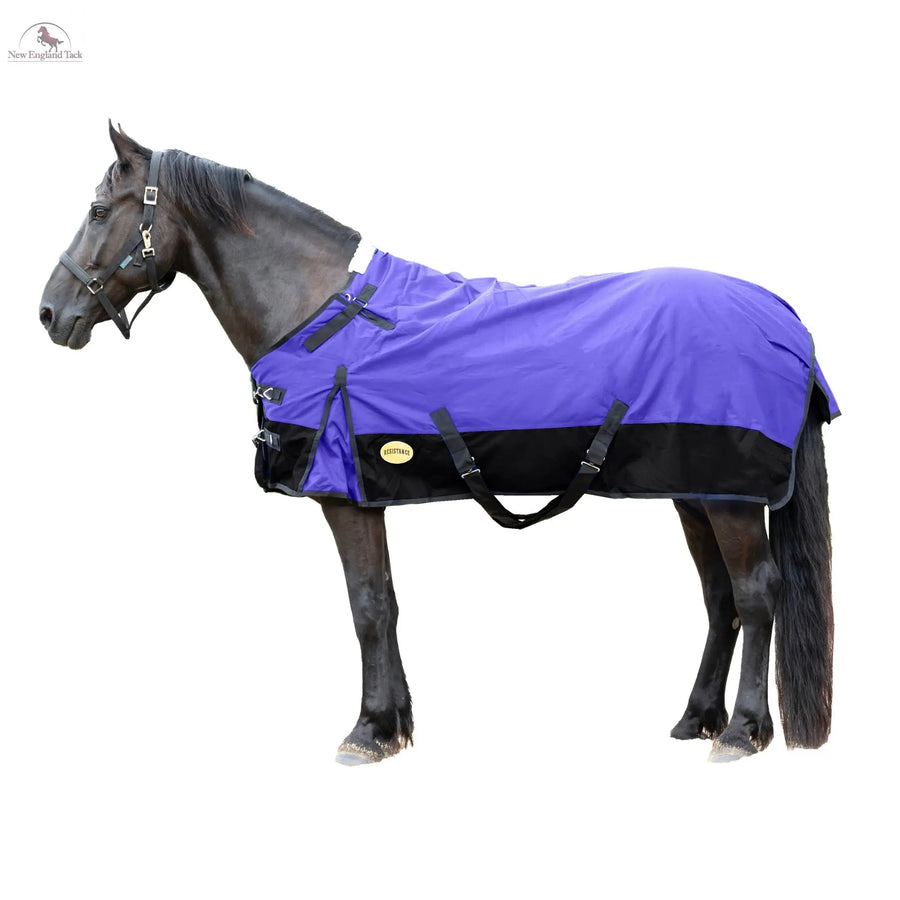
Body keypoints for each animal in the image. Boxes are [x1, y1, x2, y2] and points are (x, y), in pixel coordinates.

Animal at [39, 123, 837, 765]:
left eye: (99, 211)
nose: (50, 312)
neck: (316, 313)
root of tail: (783, 314)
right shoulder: (367, 496)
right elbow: (387, 603)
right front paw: (394, 726)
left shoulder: (342, 498)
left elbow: (365, 606)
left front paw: (366, 732)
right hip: (696, 490)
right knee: (719, 597)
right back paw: (696, 719)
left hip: (730, 498)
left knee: (756, 594)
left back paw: (742, 732)